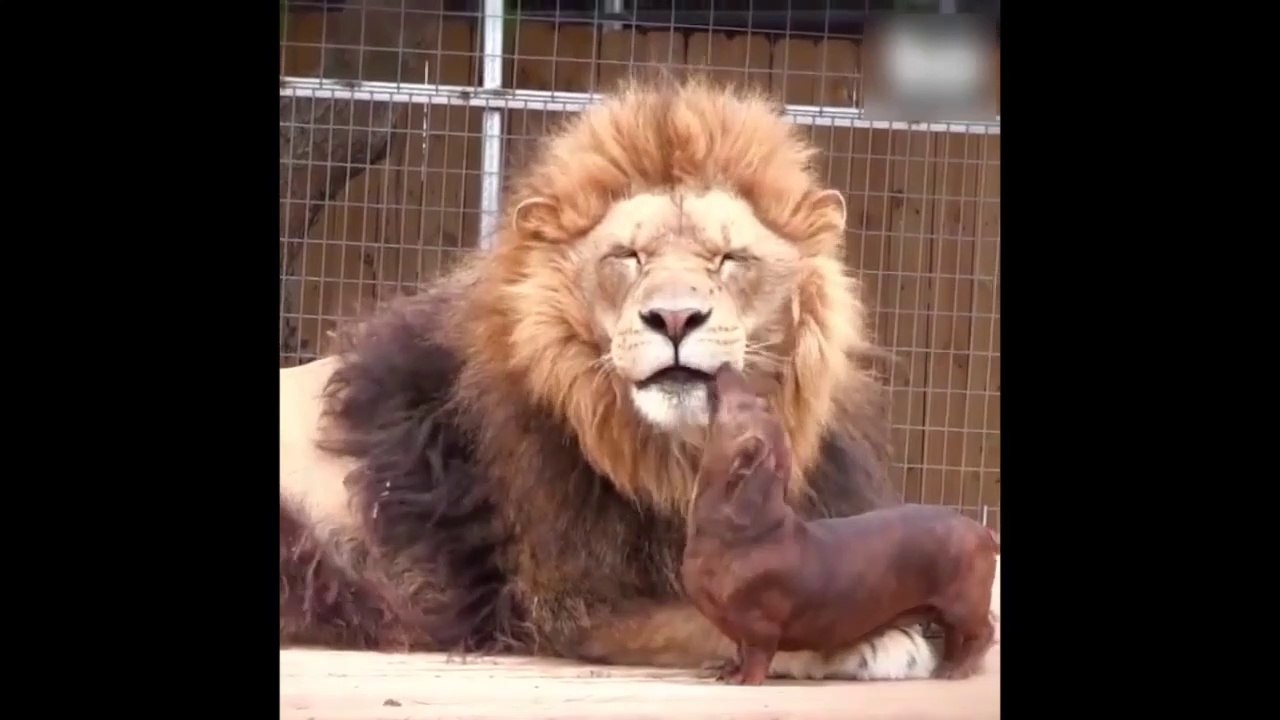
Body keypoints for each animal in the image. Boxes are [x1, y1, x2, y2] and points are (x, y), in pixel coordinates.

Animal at [279, 76, 996, 679]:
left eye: (729, 258)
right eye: (628, 257)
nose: (674, 317)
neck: (673, 461)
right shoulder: (569, 604)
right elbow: (718, 618)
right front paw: (875, 639)